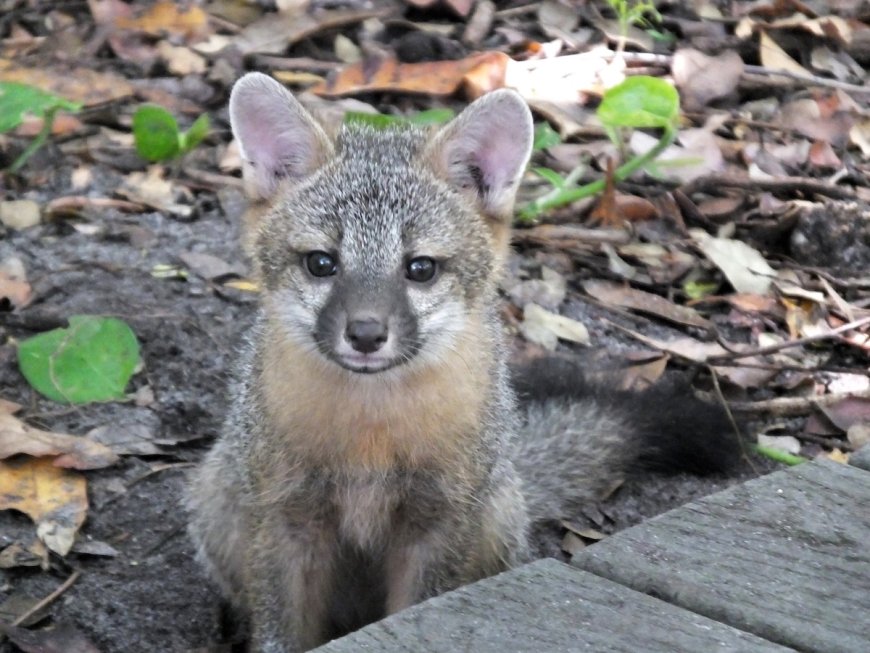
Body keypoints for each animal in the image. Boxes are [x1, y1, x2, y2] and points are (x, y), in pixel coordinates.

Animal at [187, 72, 739, 652]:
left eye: (420, 268)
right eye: (321, 263)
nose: (366, 334)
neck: (369, 441)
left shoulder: (440, 522)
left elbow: (417, 610)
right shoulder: (285, 517)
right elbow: (280, 630)